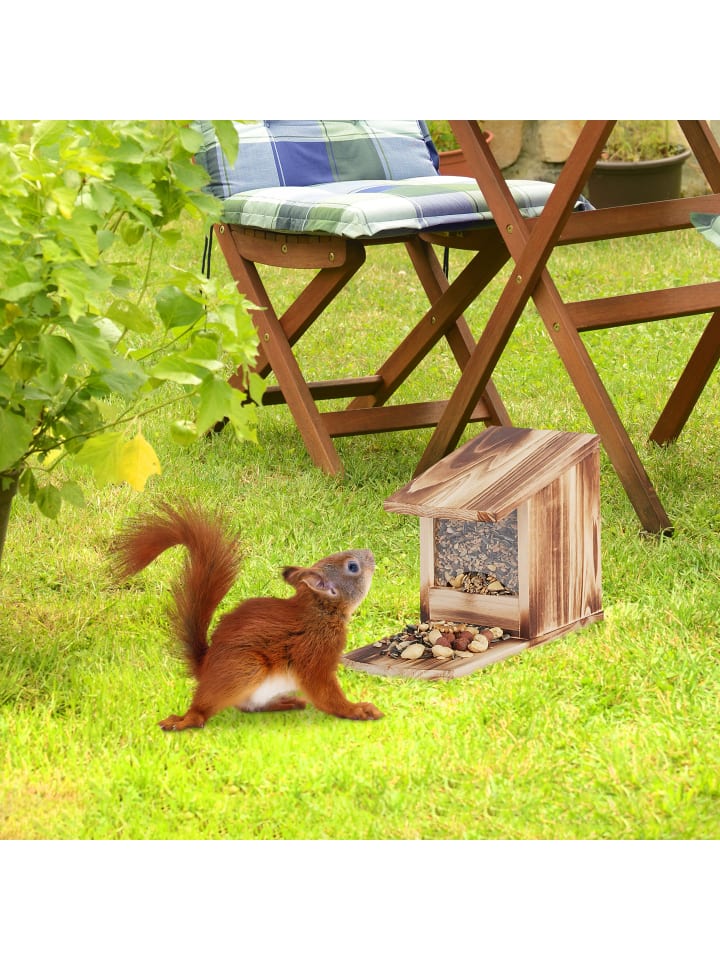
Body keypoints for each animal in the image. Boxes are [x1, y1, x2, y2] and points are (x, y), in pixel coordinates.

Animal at [110, 500, 382, 730]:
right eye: (353, 567)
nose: (371, 553)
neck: (321, 612)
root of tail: (205, 668)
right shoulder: (313, 653)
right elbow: (325, 694)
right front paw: (356, 710)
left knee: (250, 707)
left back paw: (282, 703)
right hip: (245, 668)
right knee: (208, 707)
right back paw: (189, 718)